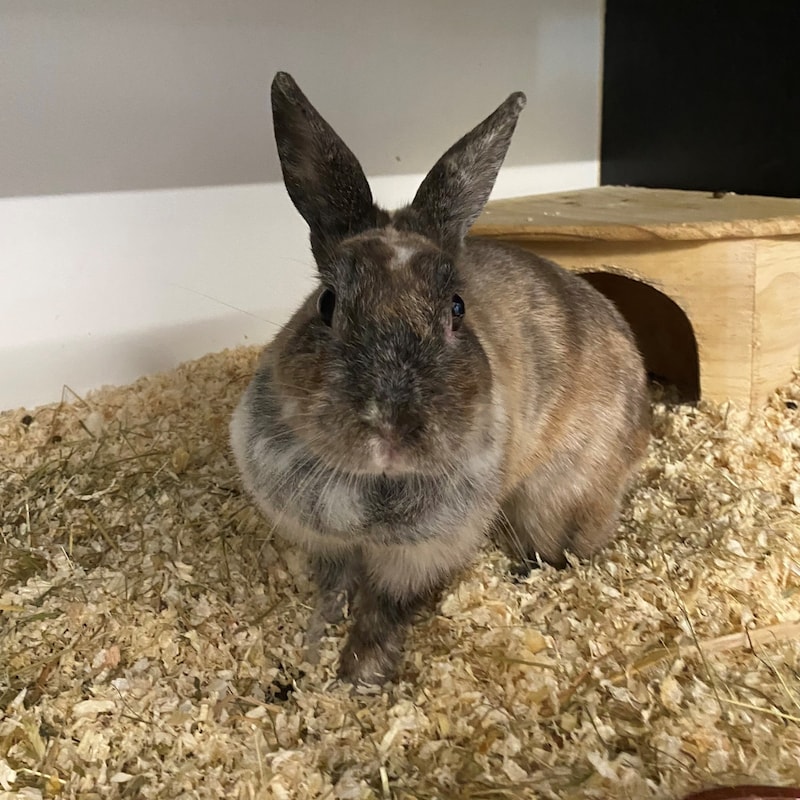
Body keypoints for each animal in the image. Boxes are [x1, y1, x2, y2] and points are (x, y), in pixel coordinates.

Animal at [230, 72, 648, 684]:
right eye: (327, 304)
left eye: (457, 308)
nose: (390, 428)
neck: (374, 490)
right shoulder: (326, 546)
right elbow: (333, 596)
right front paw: (316, 649)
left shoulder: (425, 555)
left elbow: (385, 610)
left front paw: (361, 674)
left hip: (555, 500)